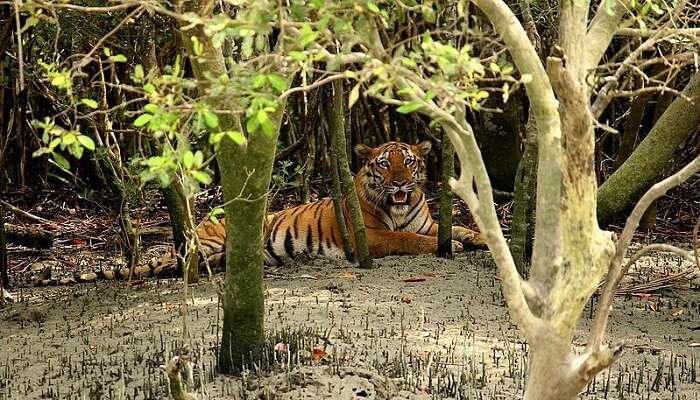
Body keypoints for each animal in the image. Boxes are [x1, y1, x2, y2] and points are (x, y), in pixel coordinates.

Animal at [93, 141, 486, 282]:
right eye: (385, 165)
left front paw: (480, 239)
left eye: (409, 162)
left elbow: (461, 228)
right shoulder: (371, 236)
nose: (401, 183)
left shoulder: (430, 223)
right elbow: (404, 238)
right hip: (208, 242)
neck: (399, 207)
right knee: (179, 265)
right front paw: (446, 247)